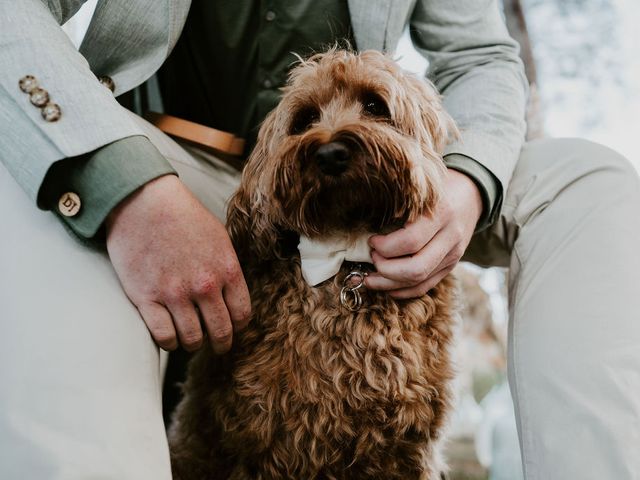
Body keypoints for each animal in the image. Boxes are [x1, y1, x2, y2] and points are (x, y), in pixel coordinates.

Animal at [170, 49, 458, 480]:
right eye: (305, 119)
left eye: (375, 105)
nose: (330, 153)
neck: (347, 257)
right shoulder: (270, 440)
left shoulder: (407, 447)